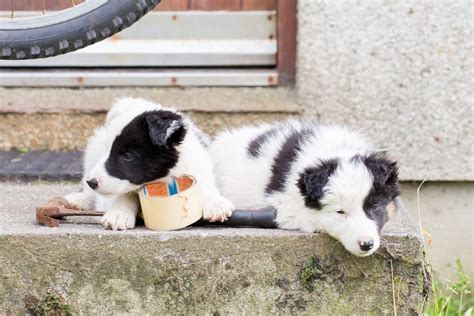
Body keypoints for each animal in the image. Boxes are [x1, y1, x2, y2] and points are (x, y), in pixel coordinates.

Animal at [64, 97, 234, 231]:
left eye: (127, 156)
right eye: (108, 149)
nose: (92, 181)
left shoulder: (196, 165)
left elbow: (205, 186)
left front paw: (216, 204)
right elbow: (125, 195)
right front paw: (119, 214)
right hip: (92, 152)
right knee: (89, 193)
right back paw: (77, 201)